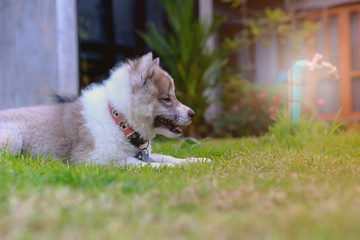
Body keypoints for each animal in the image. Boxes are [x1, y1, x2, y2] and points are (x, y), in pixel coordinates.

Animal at [0, 52, 210, 166]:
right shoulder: (92, 159)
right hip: (12, 139)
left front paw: (196, 161)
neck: (120, 120)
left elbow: (167, 156)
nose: (192, 113)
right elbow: (140, 164)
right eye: (167, 98)